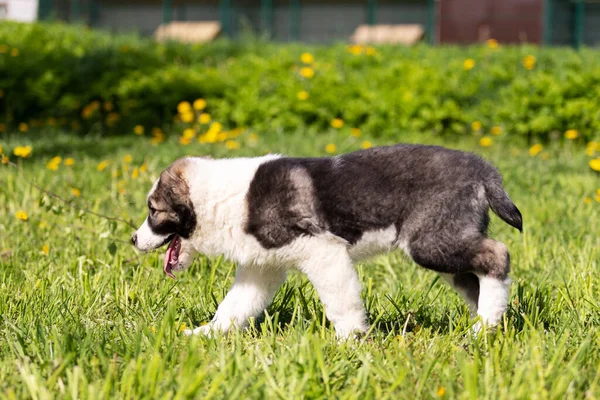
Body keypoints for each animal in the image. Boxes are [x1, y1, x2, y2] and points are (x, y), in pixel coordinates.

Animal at [130, 144, 520, 338]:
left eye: (153, 210)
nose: (133, 239)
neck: (221, 199)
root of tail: (482, 168)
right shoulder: (262, 267)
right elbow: (235, 306)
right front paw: (206, 334)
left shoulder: (322, 251)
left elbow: (341, 303)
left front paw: (352, 341)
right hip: (448, 242)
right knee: (476, 278)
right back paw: (488, 325)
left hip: (432, 241)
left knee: (498, 254)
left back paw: (483, 326)